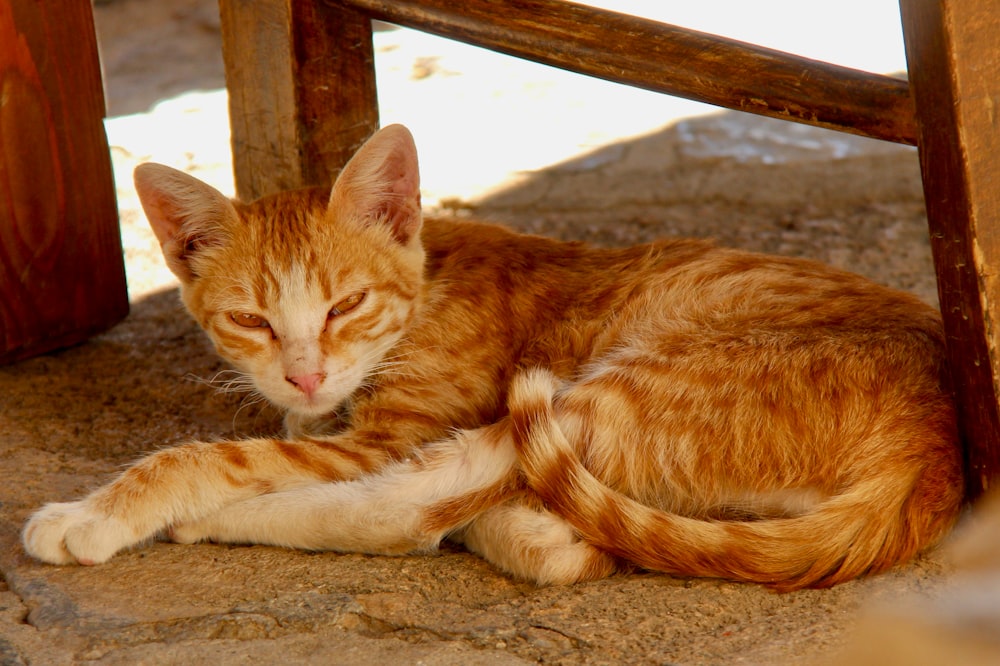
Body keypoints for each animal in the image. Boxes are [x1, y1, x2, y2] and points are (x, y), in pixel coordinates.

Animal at [21, 123, 960, 588]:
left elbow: (217, 456)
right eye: (251, 319)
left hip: (613, 385)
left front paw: (103, 511)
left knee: (405, 512)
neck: (426, 286)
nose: (305, 373)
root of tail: (939, 446)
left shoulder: (390, 435)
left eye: (345, 305)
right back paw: (540, 533)